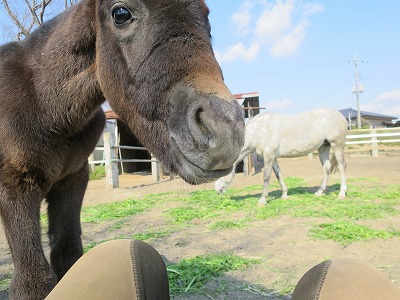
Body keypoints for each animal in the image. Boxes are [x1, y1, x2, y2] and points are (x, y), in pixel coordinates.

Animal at [0, 1, 245, 298]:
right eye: (121, 14)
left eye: (208, 19)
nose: (224, 127)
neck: (44, 104)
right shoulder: (14, 187)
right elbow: (32, 282)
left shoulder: (72, 181)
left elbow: (69, 258)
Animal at [214, 109, 348, 205]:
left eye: (221, 173)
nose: (217, 191)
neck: (259, 130)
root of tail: (341, 116)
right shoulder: (273, 158)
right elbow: (279, 175)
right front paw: (284, 194)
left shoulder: (269, 155)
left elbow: (266, 177)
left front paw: (262, 200)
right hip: (323, 147)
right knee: (326, 168)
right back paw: (319, 192)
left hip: (337, 145)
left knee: (342, 167)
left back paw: (342, 193)